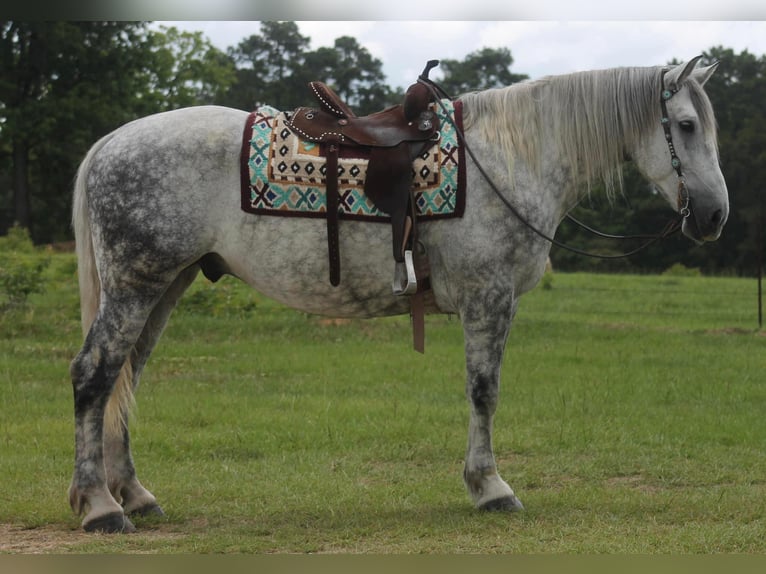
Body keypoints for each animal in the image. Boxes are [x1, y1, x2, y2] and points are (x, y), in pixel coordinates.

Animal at [69, 56, 728, 532]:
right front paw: (491, 488)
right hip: (137, 284)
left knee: (125, 379)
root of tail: (108, 144)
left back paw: (135, 496)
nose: (715, 215)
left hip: (166, 285)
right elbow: (484, 392)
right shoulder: (490, 299)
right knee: (95, 374)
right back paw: (101, 507)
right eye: (687, 127)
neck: (510, 159)